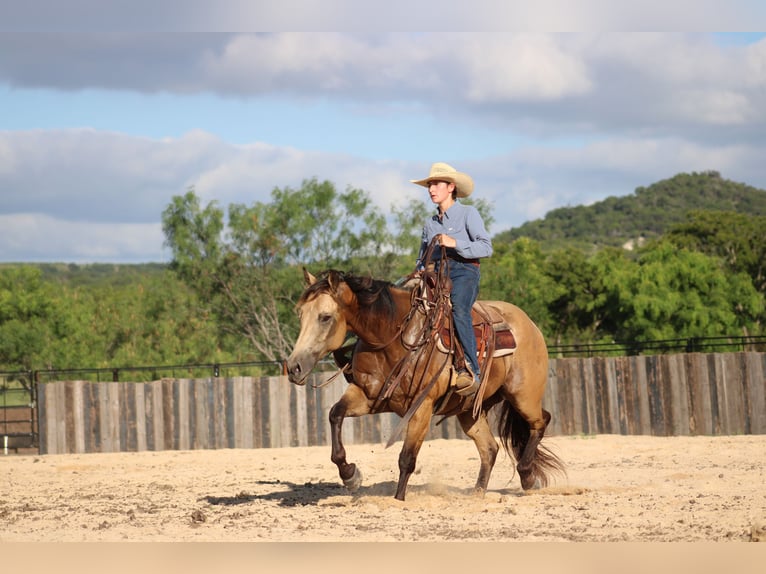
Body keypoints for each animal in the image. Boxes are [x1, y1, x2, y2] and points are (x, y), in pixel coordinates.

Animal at [285, 267, 564, 501]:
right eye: (300, 315)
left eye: (325, 317)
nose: (293, 367)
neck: (392, 336)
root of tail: (529, 324)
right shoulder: (367, 396)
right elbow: (335, 415)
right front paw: (350, 475)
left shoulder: (422, 406)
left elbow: (407, 458)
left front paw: (398, 500)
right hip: (469, 411)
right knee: (490, 448)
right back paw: (477, 494)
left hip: (523, 396)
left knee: (541, 421)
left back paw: (527, 476)